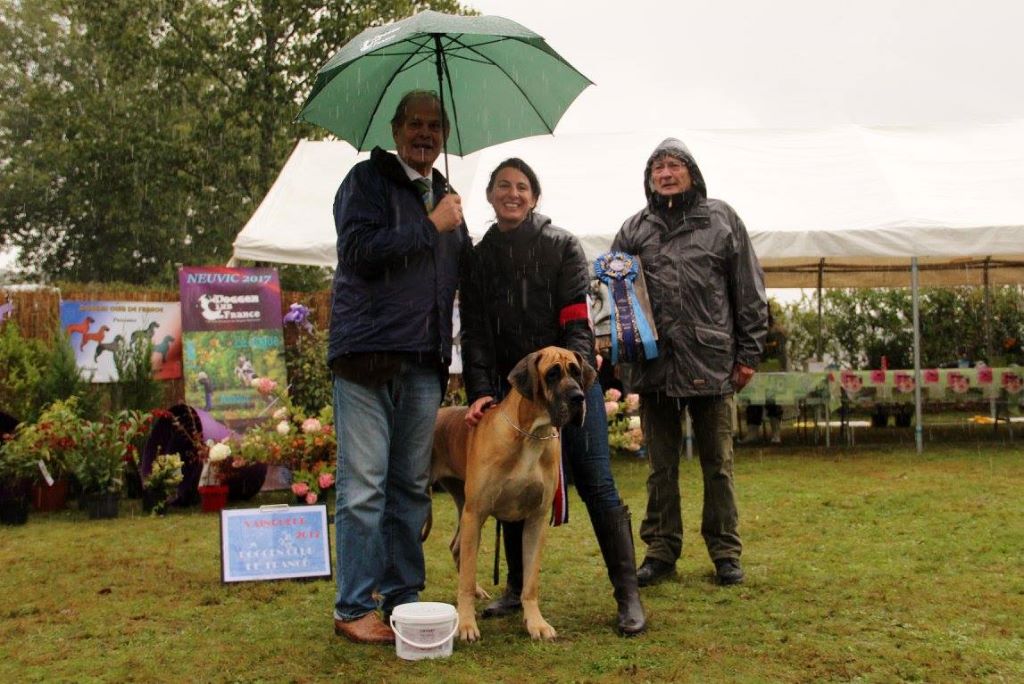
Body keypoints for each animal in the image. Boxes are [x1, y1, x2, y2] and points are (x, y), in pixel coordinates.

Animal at [428, 348, 598, 643]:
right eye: (552, 374)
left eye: (576, 372)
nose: (579, 397)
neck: (531, 434)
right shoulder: (477, 513)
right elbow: (467, 576)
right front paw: (466, 624)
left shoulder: (536, 519)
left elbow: (529, 582)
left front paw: (536, 623)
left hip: (462, 503)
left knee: (457, 546)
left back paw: (478, 590)